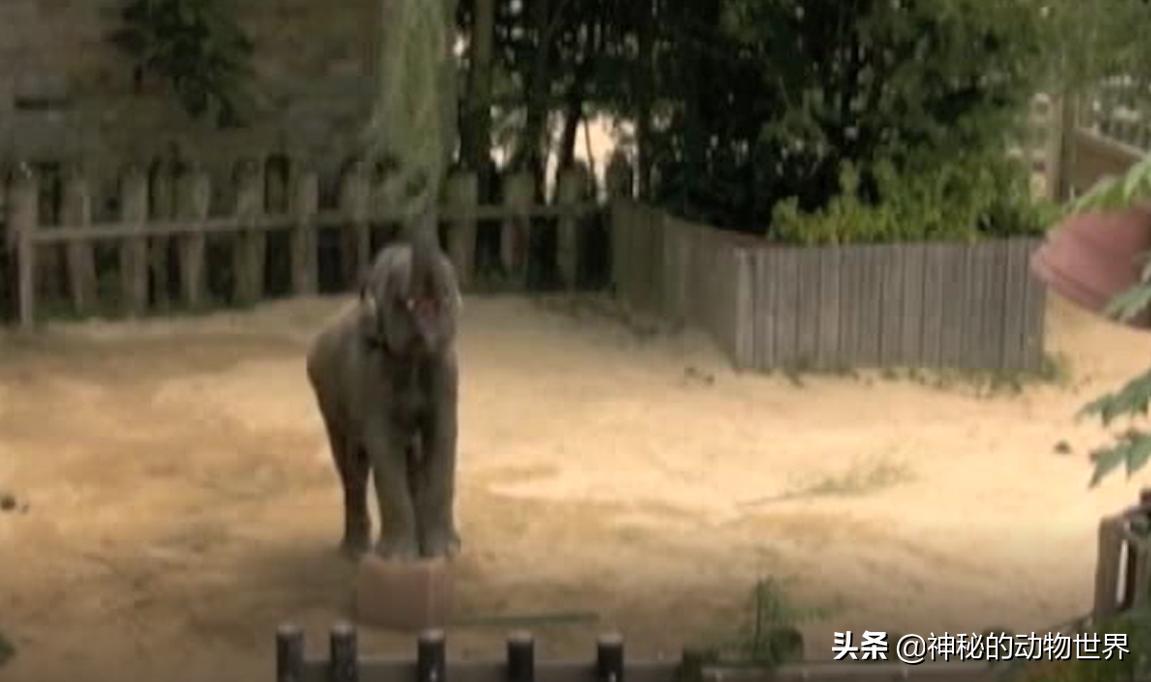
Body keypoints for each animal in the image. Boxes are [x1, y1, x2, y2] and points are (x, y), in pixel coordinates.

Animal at [306, 218, 462, 561]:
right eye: (403, 299)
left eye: (445, 298)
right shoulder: (370, 373)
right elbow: (383, 444)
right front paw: (398, 558)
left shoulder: (447, 370)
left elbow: (442, 436)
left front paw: (444, 553)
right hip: (327, 399)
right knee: (352, 467)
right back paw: (355, 551)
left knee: (408, 461)